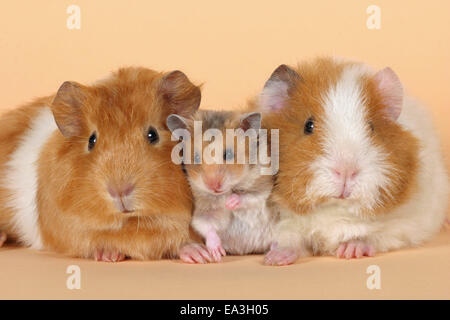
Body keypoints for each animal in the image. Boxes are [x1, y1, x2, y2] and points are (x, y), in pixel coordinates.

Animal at [166, 110, 278, 262]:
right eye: (195, 157)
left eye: (229, 154)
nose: (213, 186)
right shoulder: (201, 211)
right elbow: (205, 225)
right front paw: (217, 254)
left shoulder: (264, 185)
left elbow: (251, 196)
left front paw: (229, 203)